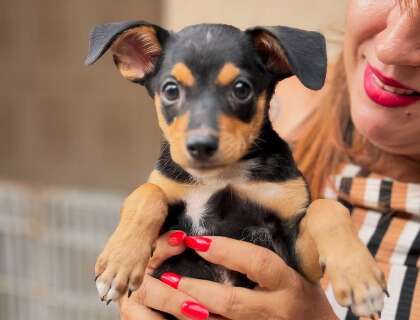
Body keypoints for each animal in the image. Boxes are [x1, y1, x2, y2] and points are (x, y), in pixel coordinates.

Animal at [85, 20, 388, 318]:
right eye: (171, 90)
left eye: (242, 89)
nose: (201, 146)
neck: (222, 175)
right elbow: (148, 192)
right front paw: (119, 262)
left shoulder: (298, 261)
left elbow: (326, 208)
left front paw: (361, 279)